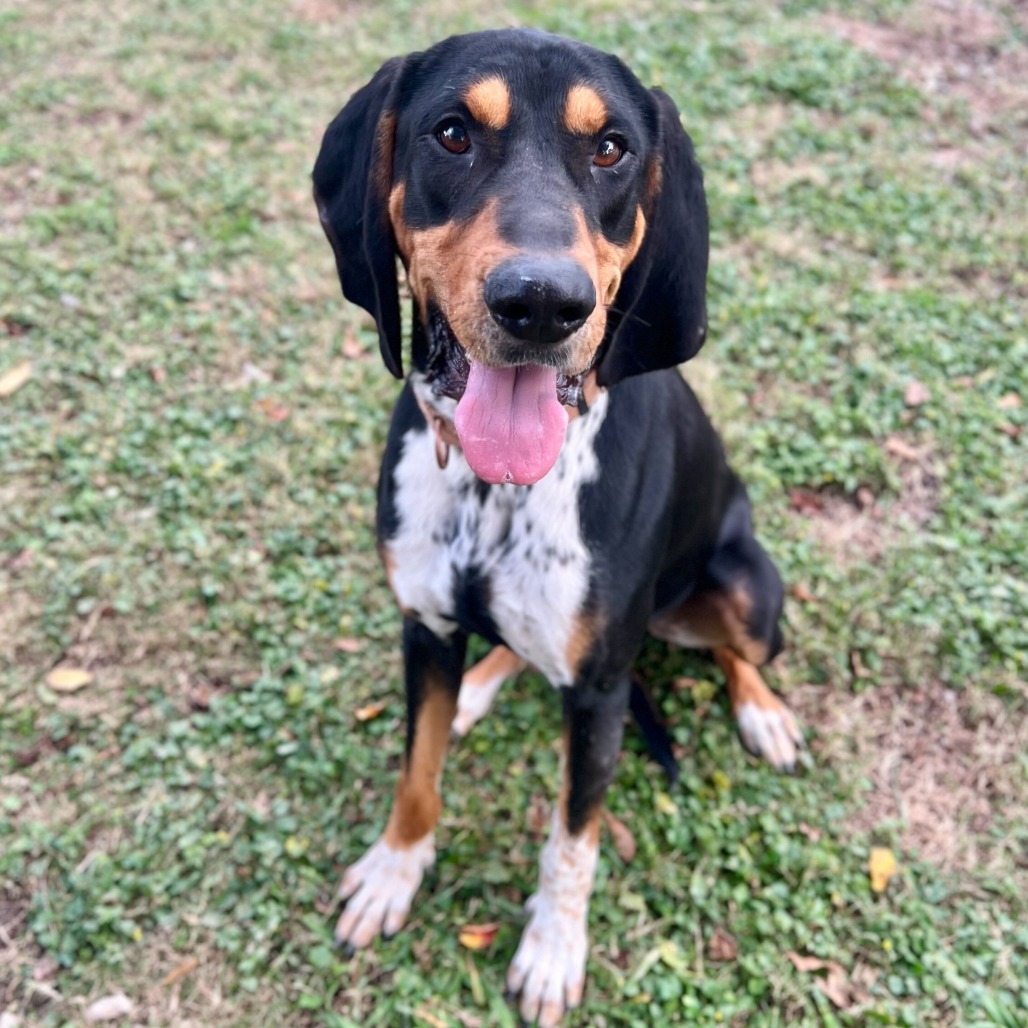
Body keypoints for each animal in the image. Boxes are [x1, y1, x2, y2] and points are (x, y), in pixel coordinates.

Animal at [312, 28, 801, 1023]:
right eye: (451, 134)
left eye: (611, 148)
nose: (541, 303)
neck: (496, 494)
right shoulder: (423, 624)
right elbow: (416, 774)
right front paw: (393, 871)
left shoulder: (602, 692)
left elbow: (571, 837)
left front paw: (550, 948)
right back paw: (477, 689)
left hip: (742, 588)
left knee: (736, 650)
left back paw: (763, 712)